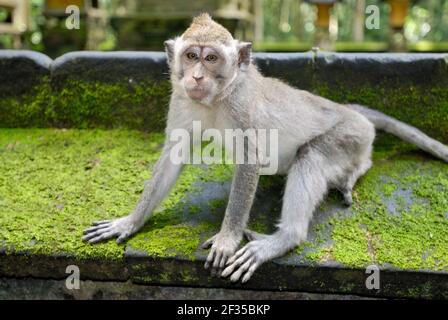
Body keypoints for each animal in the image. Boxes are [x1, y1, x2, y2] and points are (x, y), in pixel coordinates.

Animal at [82, 13, 446, 282]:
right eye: (191, 56)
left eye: (211, 58)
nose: (196, 77)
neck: (216, 100)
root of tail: (349, 111)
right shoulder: (182, 100)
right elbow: (174, 155)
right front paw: (130, 221)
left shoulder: (242, 109)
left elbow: (250, 160)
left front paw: (227, 238)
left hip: (348, 134)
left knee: (311, 156)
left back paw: (285, 238)